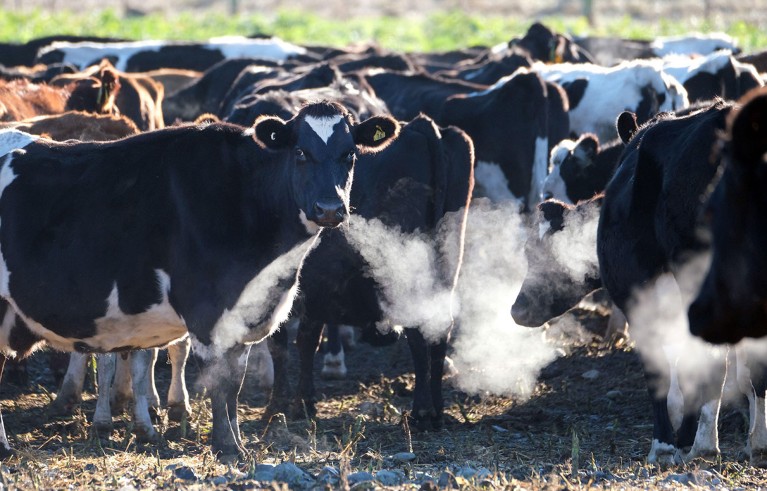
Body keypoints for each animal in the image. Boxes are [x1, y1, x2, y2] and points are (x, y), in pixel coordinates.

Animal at [0, 100, 402, 462]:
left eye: (350, 155)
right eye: (301, 151)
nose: (330, 208)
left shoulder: (243, 317)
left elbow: (235, 383)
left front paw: (237, 442)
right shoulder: (207, 314)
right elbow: (218, 382)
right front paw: (226, 447)